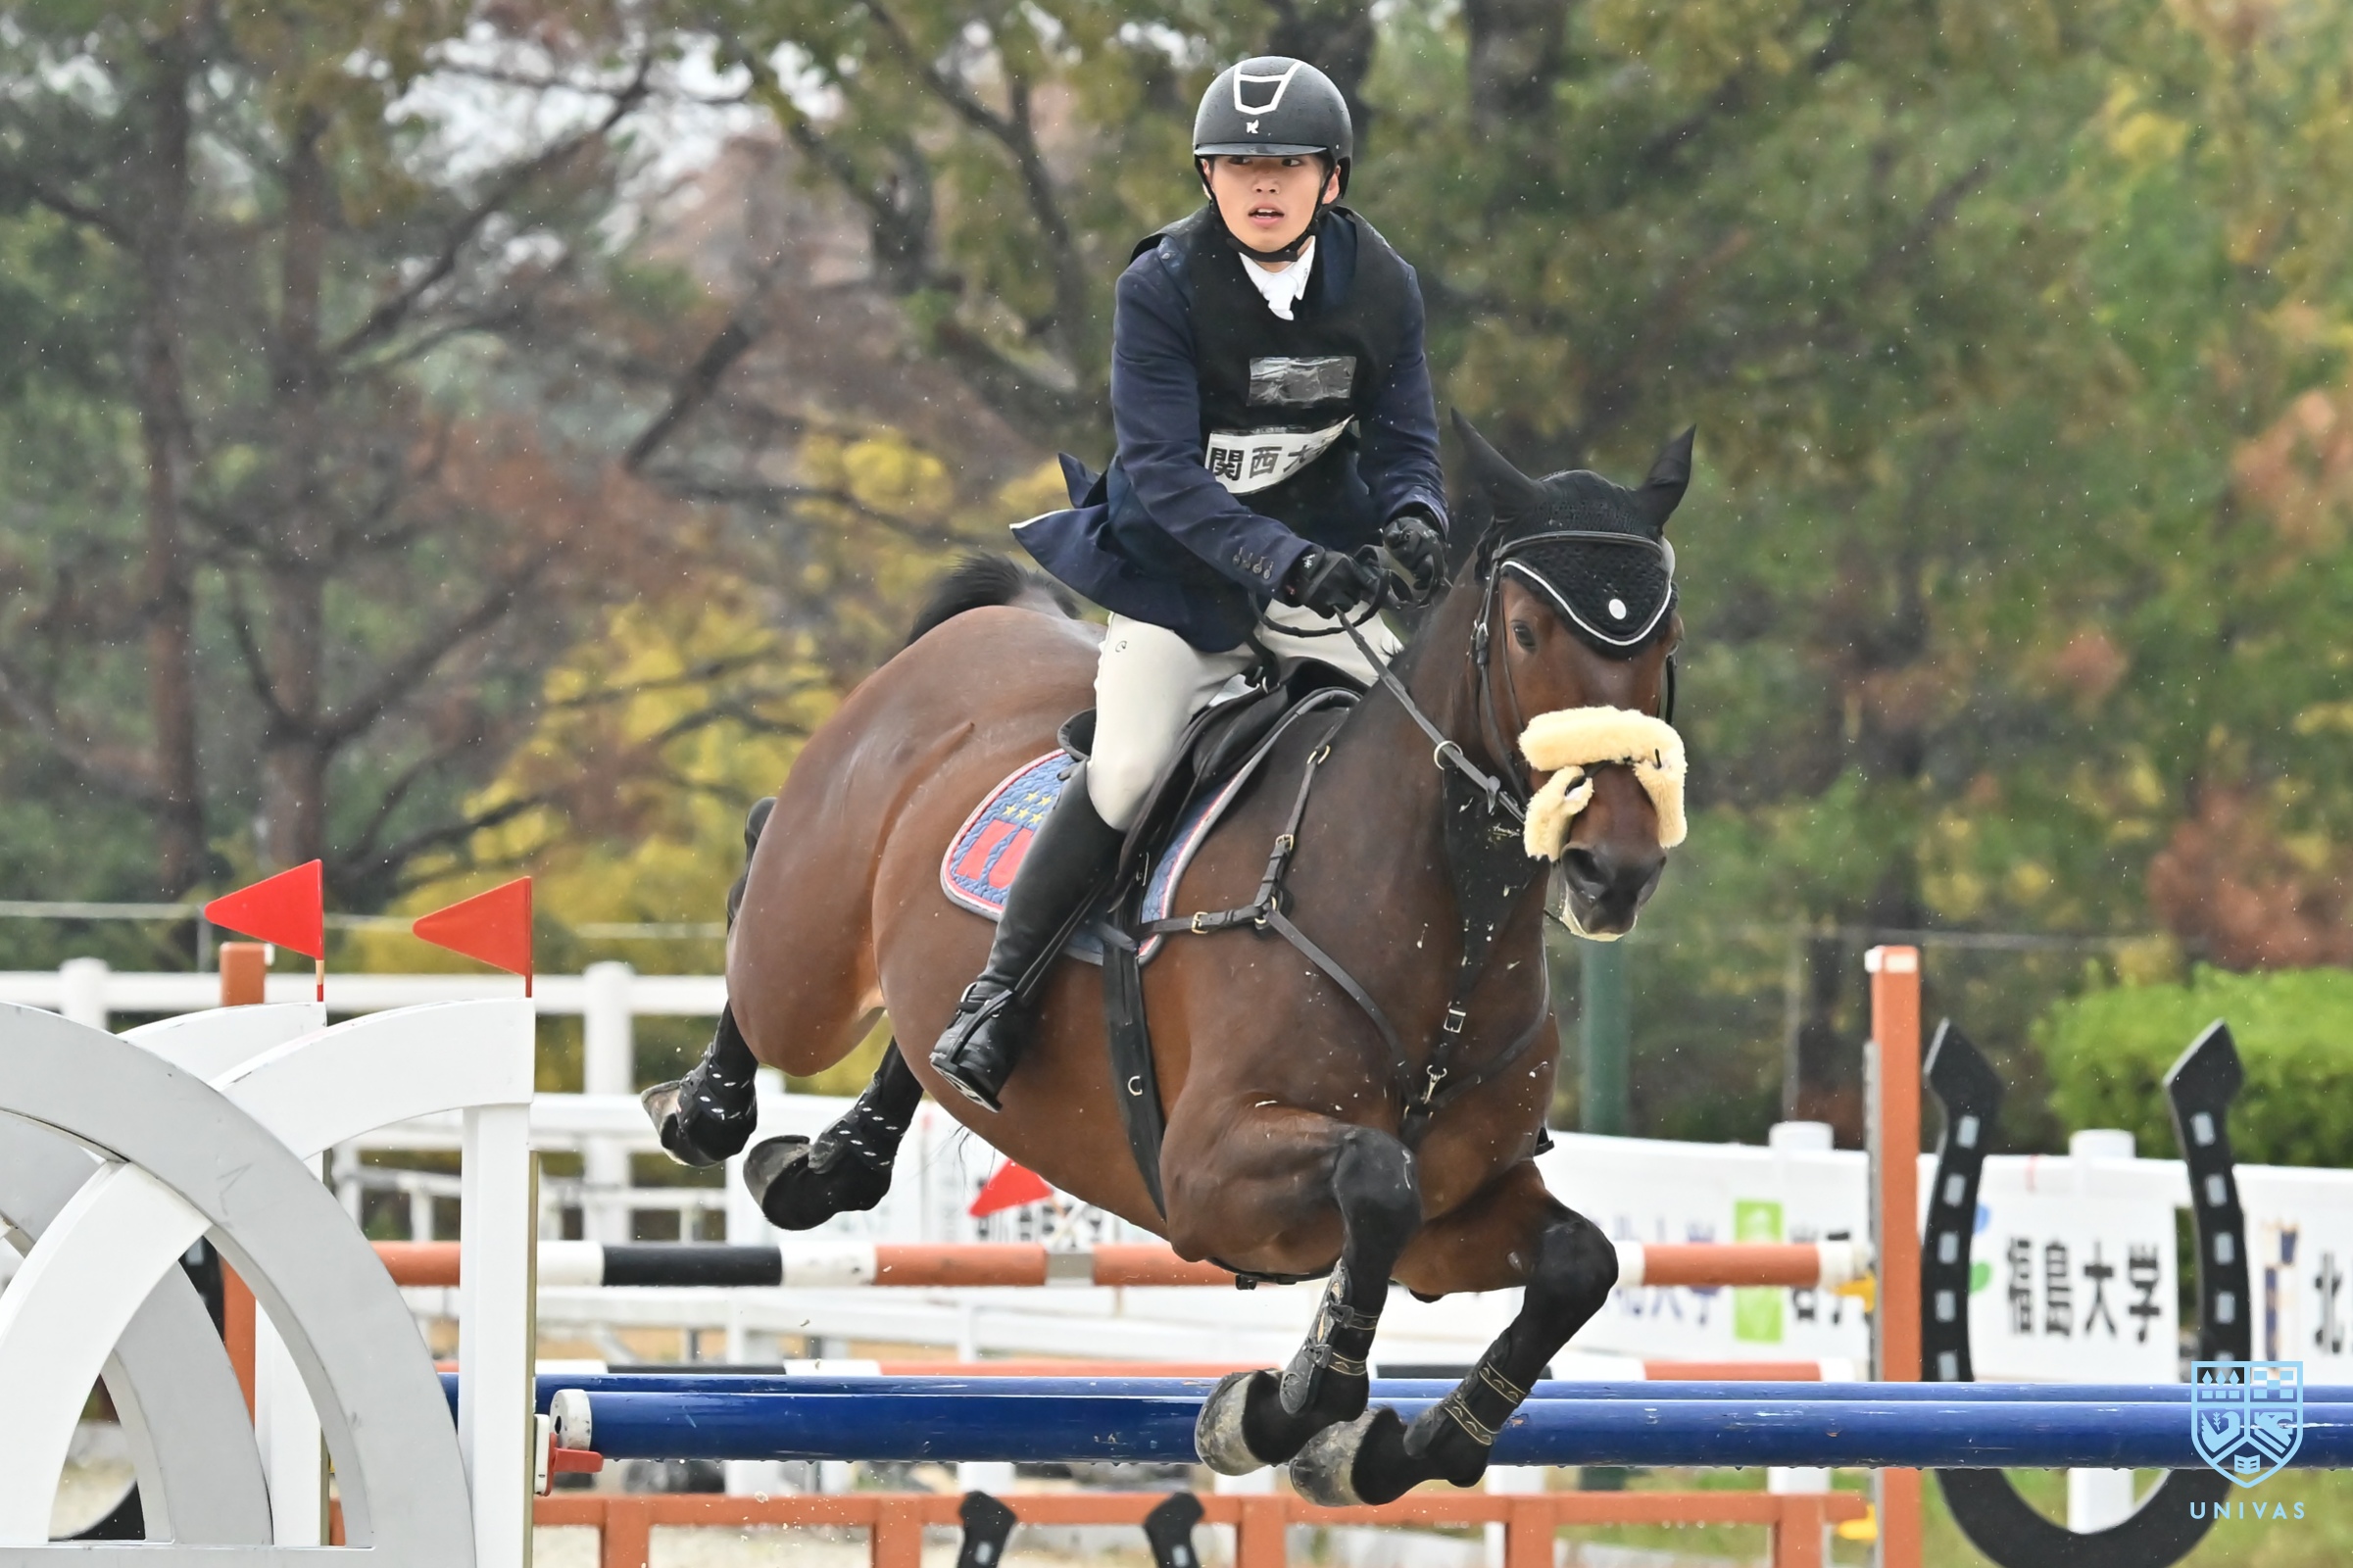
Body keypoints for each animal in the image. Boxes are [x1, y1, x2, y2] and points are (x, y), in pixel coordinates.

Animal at [692, 417, 1691, 1504]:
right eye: (1526, 634)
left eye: (1663, 644)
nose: (1615, 869)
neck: (1441, 935)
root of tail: (991, 622)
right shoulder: (1210, 1176)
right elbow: (1375, 1178)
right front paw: (1277, 1409)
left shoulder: (1453, 1213)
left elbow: (1577, 1262)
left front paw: (1396, 1449)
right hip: (807, 968)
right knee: (760, 891)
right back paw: (707, 1108)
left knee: (922, 1039)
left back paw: (844, 1153)